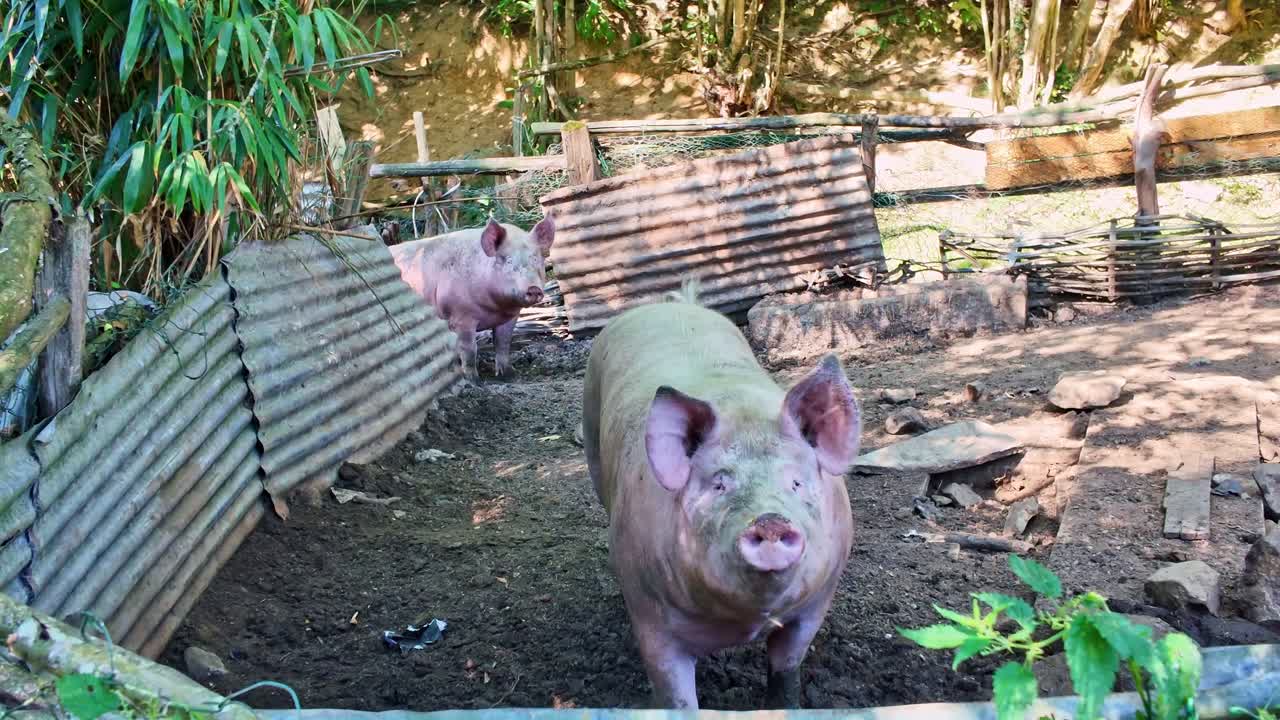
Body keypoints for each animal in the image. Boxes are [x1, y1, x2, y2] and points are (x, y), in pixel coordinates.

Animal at [389, 216, 554, 380]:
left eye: (535, 259)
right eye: (509, 261)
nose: (534, 288)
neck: (495, 309)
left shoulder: (510, 318)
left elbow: (503, 343)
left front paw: (508, 374)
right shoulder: (461, 317)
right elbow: (469, 348)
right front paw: (474, 379)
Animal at [581, 279, 861, 710]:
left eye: (796, 483)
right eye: (719, 484)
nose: (770, 520)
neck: (745, 621)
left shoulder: (817, 601)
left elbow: (787, 667)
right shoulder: (650, 617)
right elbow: (675, 696)